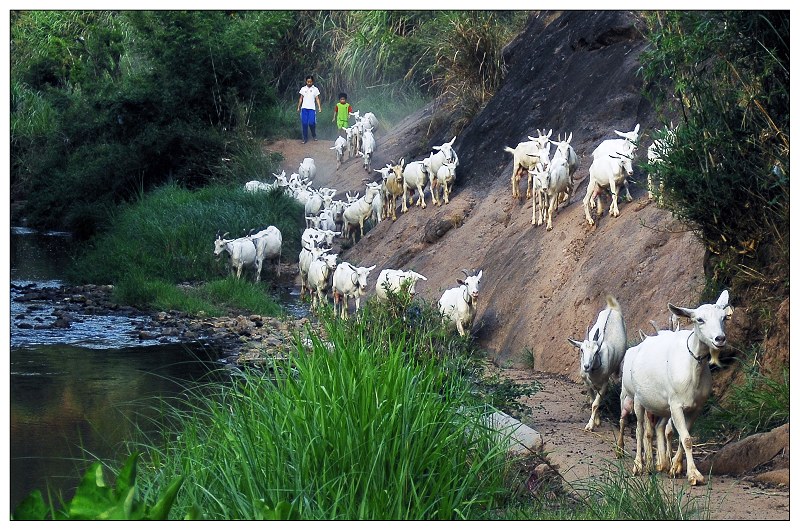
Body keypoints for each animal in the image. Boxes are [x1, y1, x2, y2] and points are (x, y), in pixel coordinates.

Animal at [564, 296, 628, 432]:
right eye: (581, 350)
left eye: (596, 351)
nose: (586, 366)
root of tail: (612, 308)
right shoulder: (586, 383)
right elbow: (592, 401)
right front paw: (597, 421)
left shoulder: (604, 384)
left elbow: (596, 403)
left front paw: (590, 425)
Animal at [620, 290, 732, 486]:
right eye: (699, 319)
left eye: (724, 317)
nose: (720, 339)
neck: (692, 370)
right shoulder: (676, 405)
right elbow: (686, 438)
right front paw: (694, 475)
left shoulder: (696, 408)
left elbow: (683, 437)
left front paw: (676, 468)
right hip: (637, 400)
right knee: (640, 430)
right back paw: (639, 466)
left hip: (660, 406)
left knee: (657, 428)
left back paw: (660, 464)